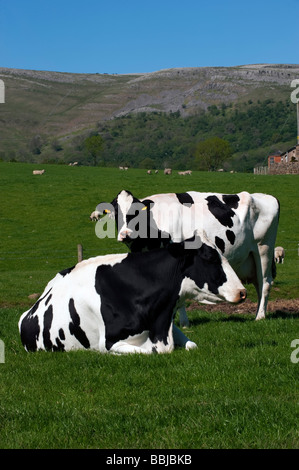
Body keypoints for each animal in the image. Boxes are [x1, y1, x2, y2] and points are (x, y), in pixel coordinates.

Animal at [92, 189, 282, 322]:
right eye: (116, 213)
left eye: (136, 212)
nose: (125, 234)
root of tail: (268, 197)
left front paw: (183, 323)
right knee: (259, 284)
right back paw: (259, 313)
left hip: (264, 249)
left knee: (265, 283)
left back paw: (260, 317)